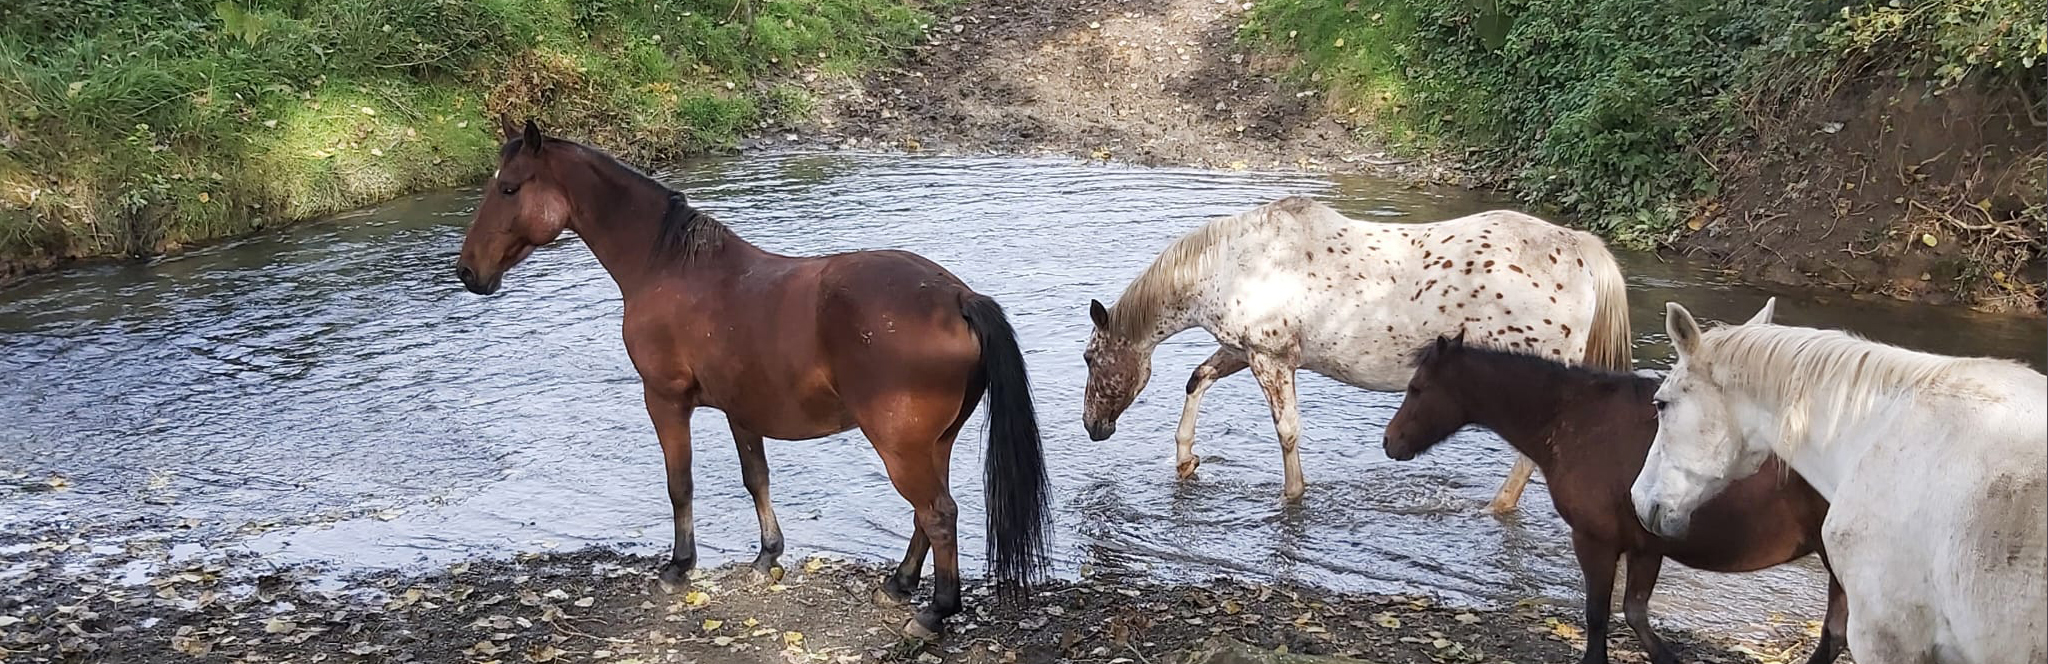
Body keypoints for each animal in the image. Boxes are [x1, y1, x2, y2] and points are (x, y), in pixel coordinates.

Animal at [453, 120, 1051, 638]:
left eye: (508, 188)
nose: (467, 272)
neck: (666, 267)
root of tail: (957, 297)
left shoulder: (665, 399)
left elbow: (680, 483)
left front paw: (680, 565)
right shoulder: (741, 409)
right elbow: (756, 478)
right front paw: (767, 555)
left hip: (900, 446)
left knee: (938, 515)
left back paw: (935, 611)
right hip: (933, 443)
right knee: (926, 516)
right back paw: (900, 583)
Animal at [1081, 196, 1632, 508]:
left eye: (1088, 359)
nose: (1092, 427)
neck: (1236, 262)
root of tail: (1579, 248)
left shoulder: (1270, 359)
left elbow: (1287, 431)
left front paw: (1292, 496)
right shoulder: (1245, 351)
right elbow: (1198, 378)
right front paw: (1185, 461)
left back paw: (1497, 507)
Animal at [1384, 332, 1844, 664]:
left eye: (1417, 387)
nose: (1390, 442)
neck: (1577, 418)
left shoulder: (1596, 541)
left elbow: (1598, 614)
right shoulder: (1645, 546)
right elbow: (1635, 613)